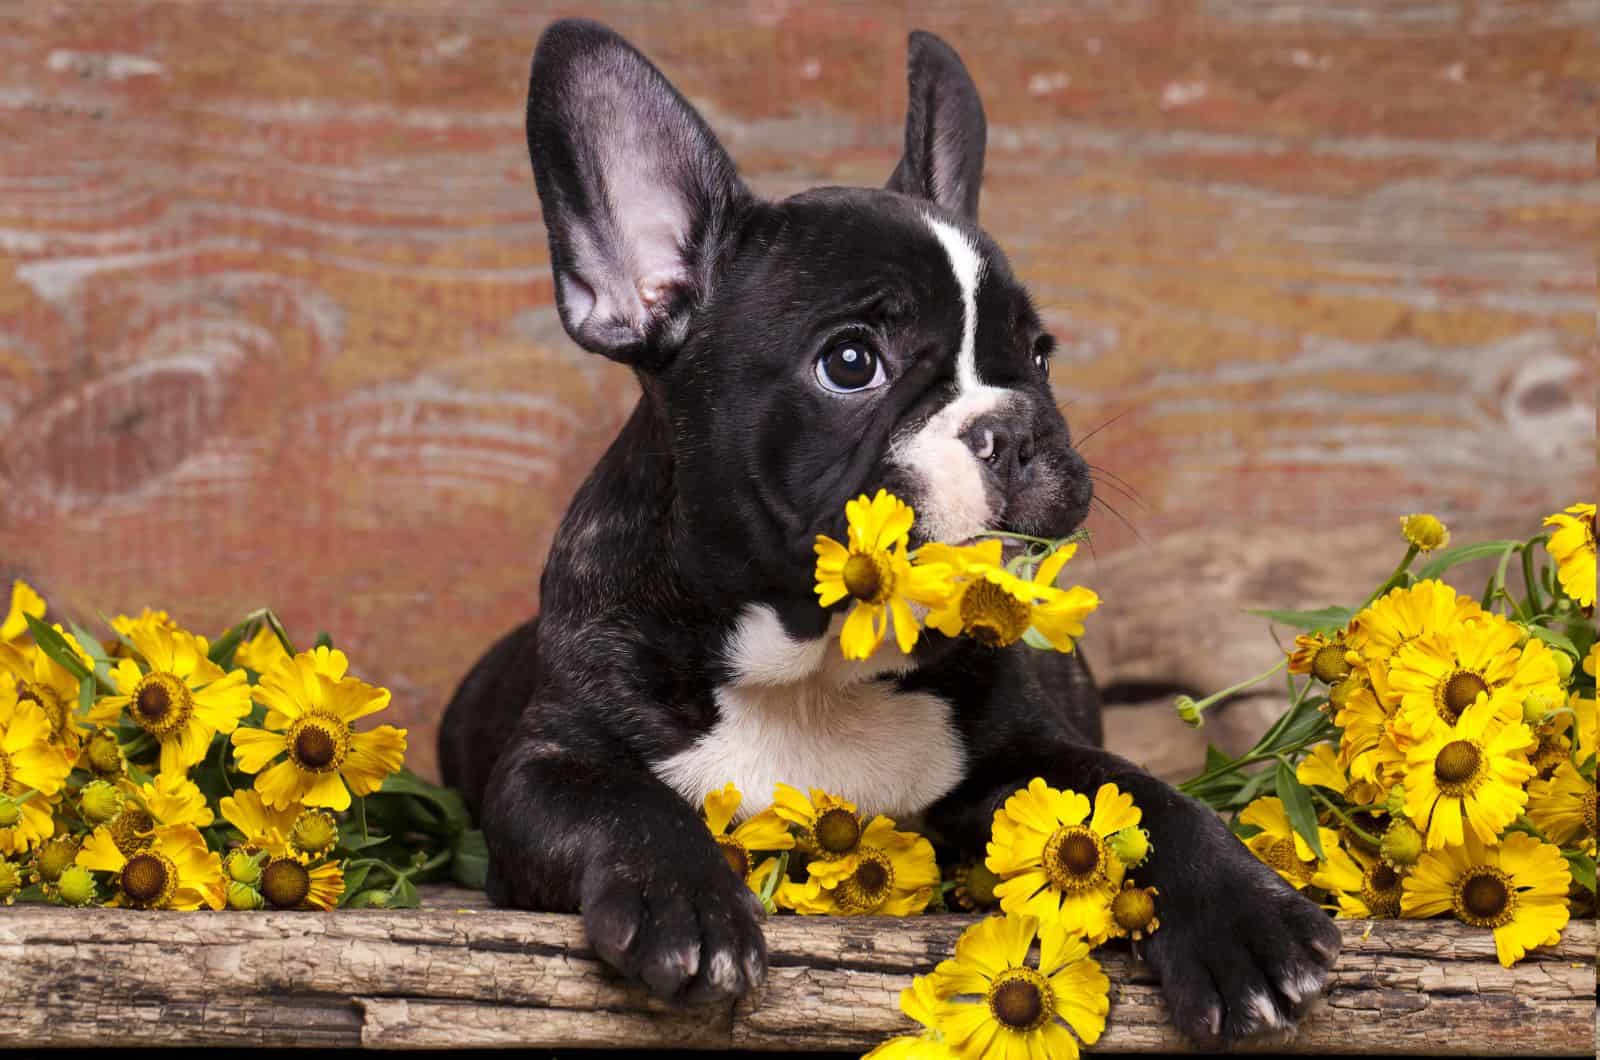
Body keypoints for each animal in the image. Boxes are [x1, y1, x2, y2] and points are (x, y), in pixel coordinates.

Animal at [438, 20, 1337, 1050]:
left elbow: (1144, 801)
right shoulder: (543, 770)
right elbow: (619, 805)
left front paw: (1245, 919)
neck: (815, 666)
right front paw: (687, 904)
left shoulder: (1033, 755)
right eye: (850, 362)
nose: (1016, 428)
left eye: (1039, 357)